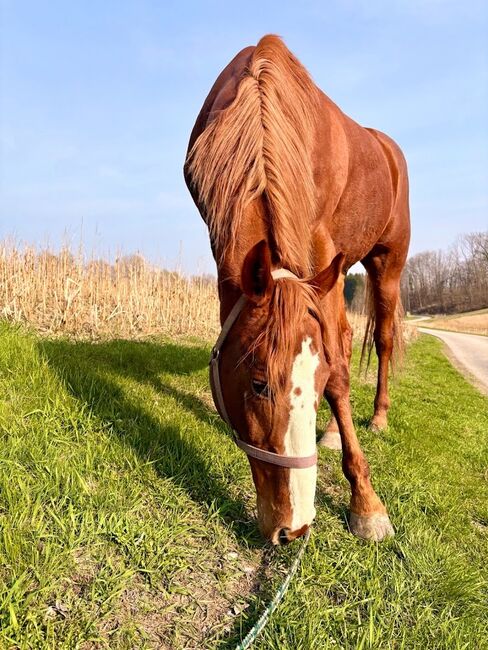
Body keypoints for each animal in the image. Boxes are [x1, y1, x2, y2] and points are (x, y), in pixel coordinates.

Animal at [184, 35, 410, 545]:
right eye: (258, 383)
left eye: (318, 380)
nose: (296, 526)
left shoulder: (322, 249)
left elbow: (343, 369)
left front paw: (367, 505)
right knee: (346, 334)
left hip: (385, 267)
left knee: (383, 339)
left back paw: (379, 418)